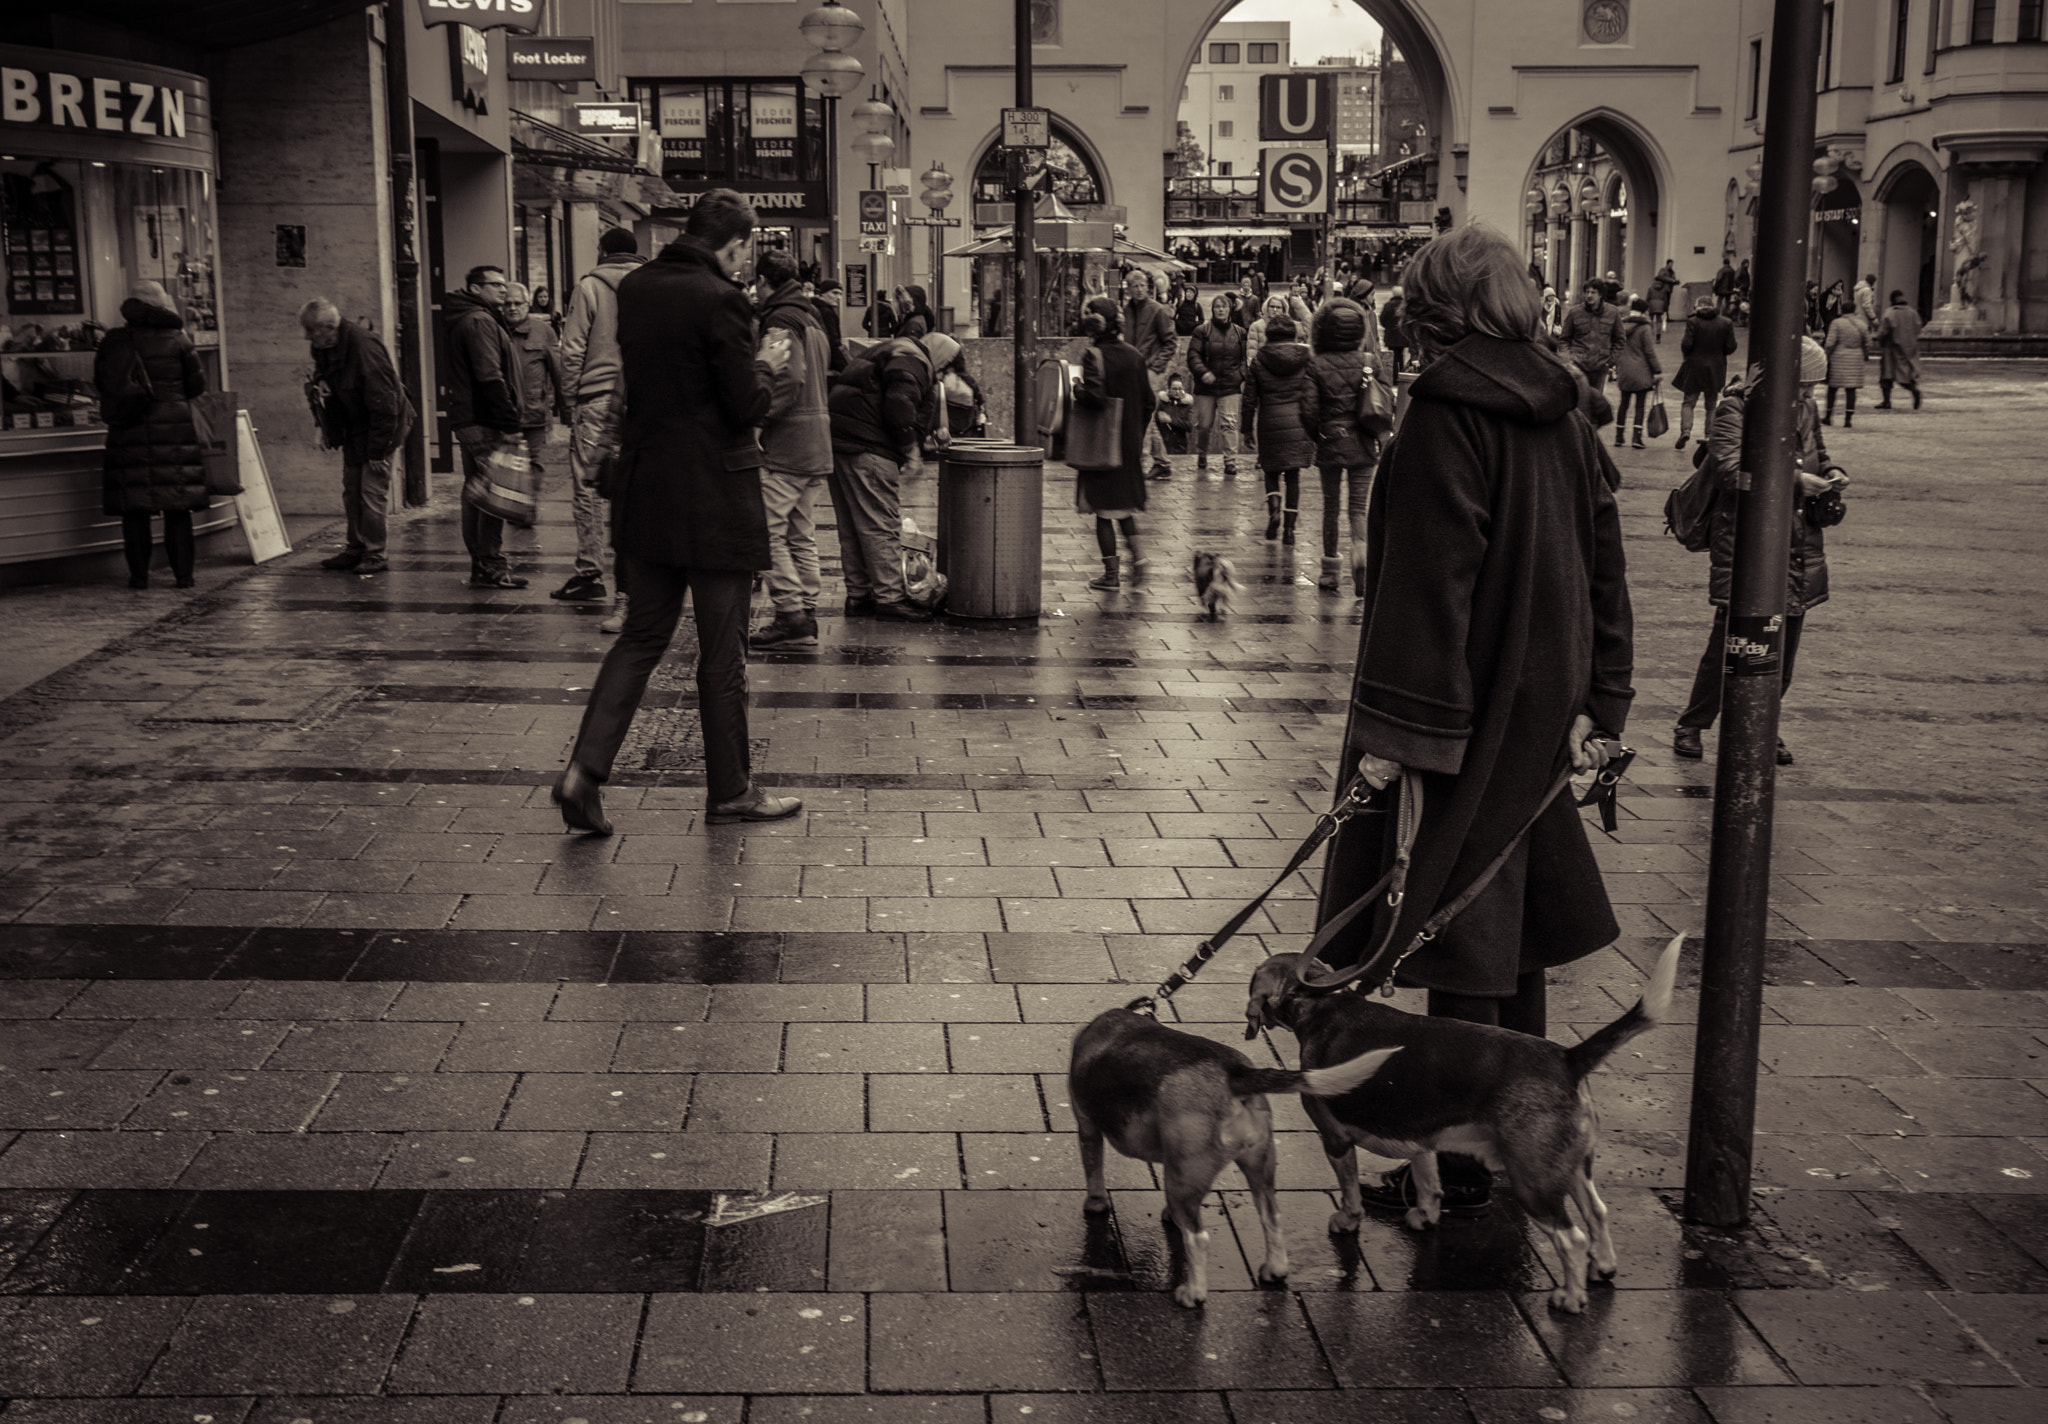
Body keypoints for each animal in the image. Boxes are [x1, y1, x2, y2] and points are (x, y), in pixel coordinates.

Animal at [1073, 995, 1392, 1311]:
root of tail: (1235, 1075)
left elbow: (1093, 1170)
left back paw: (1193, 1293)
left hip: (1186, 1178)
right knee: (1271, 1216)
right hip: (1257, 1164)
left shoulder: (1087, 1127)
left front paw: (1096, 1204)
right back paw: (1274, 1270)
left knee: (1197, 1238)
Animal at [1236, 934, 1687, 1311]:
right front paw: (1425, 1216)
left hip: (1533, 1181)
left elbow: (1349, 1192)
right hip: (1570, 1167)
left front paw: (1347, 1221)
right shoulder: (1420, 1137)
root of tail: (1568, 1058)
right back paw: (1603, 1267)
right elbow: (1429, 1183)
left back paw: (1570, 1298)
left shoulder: (1335, 1138)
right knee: (1597, 1212)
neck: (1323, 1004)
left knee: (1570, 1238)